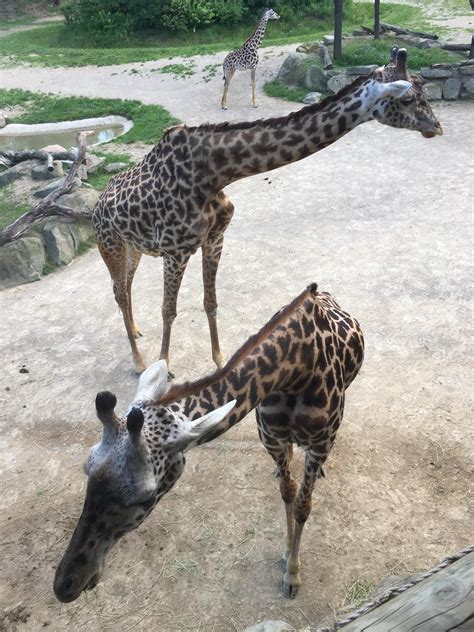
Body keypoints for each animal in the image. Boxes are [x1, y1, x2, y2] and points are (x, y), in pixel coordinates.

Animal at [55, 282, 364, 604]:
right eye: (87, 468)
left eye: (144, 497)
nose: (66, 584)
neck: (296, 372)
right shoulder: (272, 440)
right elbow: (287, 492)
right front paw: (287, 555)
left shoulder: (319, 444)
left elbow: (303, 504)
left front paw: (293, 574)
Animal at [91, 51, 440, 376]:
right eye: (407, 98)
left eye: (423, 87)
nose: (436, 127)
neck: (212, 174)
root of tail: (95, 206)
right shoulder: (176, 251)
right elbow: (168, 310)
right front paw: (162, 366)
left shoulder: (214, 239)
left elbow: (210, 302)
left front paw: (220, 360)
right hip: (110, 244)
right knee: (119, 292)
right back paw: (139, 361)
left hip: (134, 247)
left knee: (126, 287)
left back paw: (136, 331)